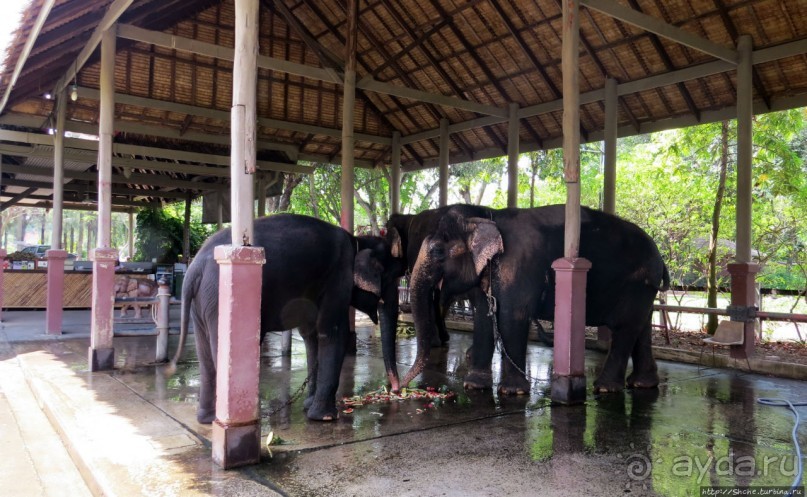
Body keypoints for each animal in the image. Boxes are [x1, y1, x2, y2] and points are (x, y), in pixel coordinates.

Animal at [172, 213, 400, 422]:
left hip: (202, 303)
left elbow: (311, 335)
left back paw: (207, 419)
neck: (358, 241)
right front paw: (325, 417)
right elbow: (333, 331)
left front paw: (309, 406)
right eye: (390, 278)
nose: (396, 390)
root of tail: (194, 268)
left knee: (204, 353)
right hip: (220, 297)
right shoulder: (339, 276)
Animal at [400, 203, 672, 394]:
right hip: (644, 290)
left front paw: (512, 392)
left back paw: (605, 388)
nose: (398, 387)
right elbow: (484, 316)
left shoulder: (517, 265)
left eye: (438, 251)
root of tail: (660, 258)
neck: (487, 215)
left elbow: (512, 315)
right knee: (641, 327)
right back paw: (642, 384)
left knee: (626, 328)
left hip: (637, 285)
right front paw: (474, 386)